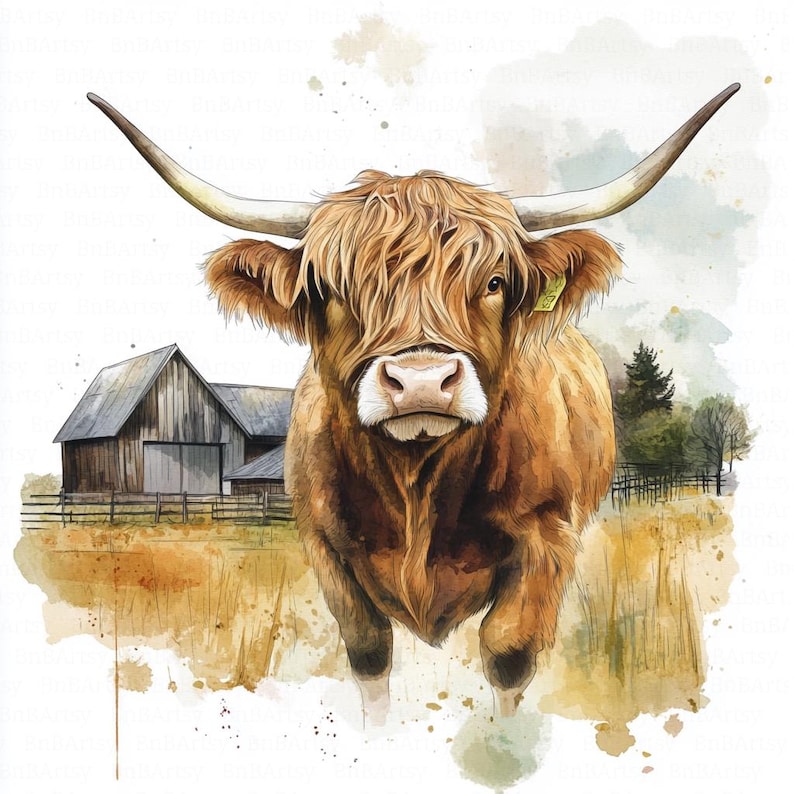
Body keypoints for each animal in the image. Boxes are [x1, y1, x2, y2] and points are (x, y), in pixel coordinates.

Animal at [88, 84, 739, 723]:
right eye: (331, 289)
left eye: (494, 282)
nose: (422, 381)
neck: (416, 484)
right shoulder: (325, 546)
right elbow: (369, 652)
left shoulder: (547, 538)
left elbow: (509, 655)